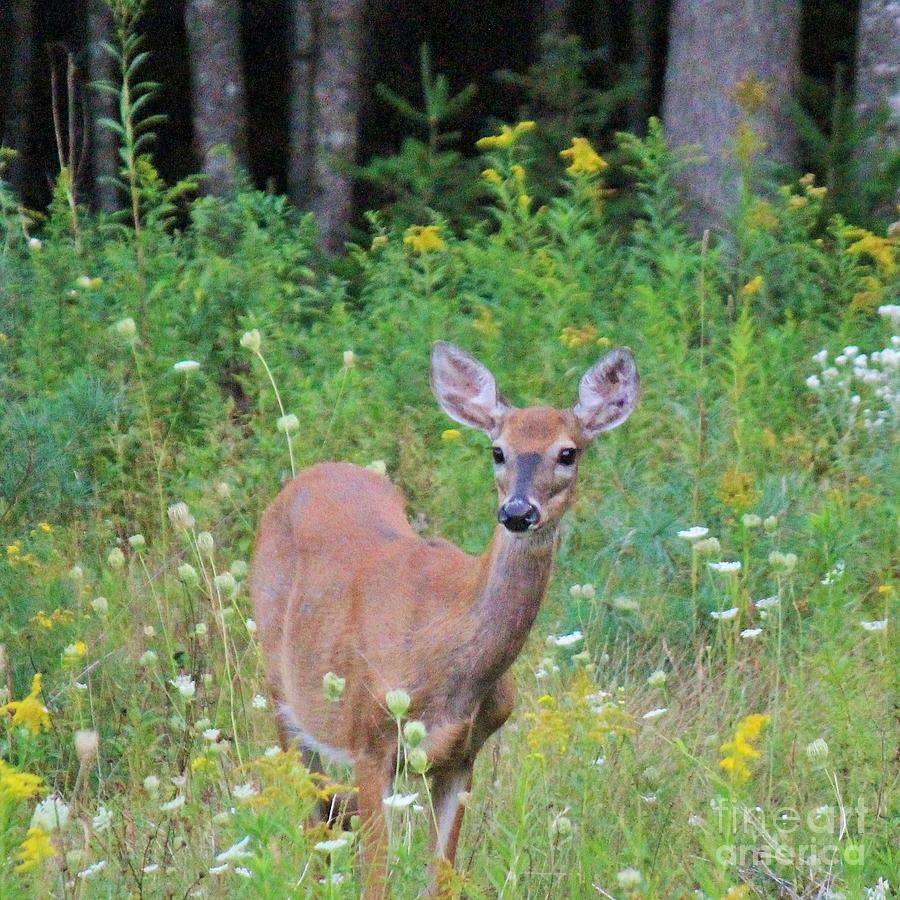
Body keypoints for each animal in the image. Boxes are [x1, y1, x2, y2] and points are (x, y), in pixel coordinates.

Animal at [250, 342, 636, 896]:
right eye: (497, 450)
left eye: (569, 452)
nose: (518, 513)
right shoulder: (370, 742)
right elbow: (376, 881)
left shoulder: (464, 755)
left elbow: (441, 879)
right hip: (283, 694)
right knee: (313, 819)